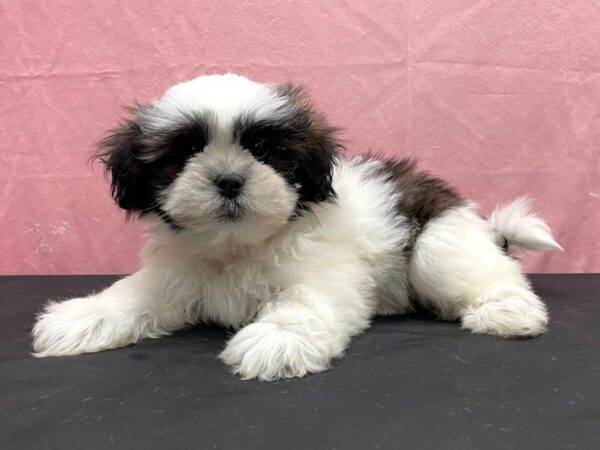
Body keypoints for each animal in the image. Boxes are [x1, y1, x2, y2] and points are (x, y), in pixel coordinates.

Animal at [31, 73, 564, 380]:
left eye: (264, 150)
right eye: (185, 152)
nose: (229, 179)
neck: (236, 247)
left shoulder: (326, 273)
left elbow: (306, 301)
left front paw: (278, 338)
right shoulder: (174, 275)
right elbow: (131, 294)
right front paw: (82, 316)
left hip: (438, 242)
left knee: (488, 275)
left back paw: (508, 311)